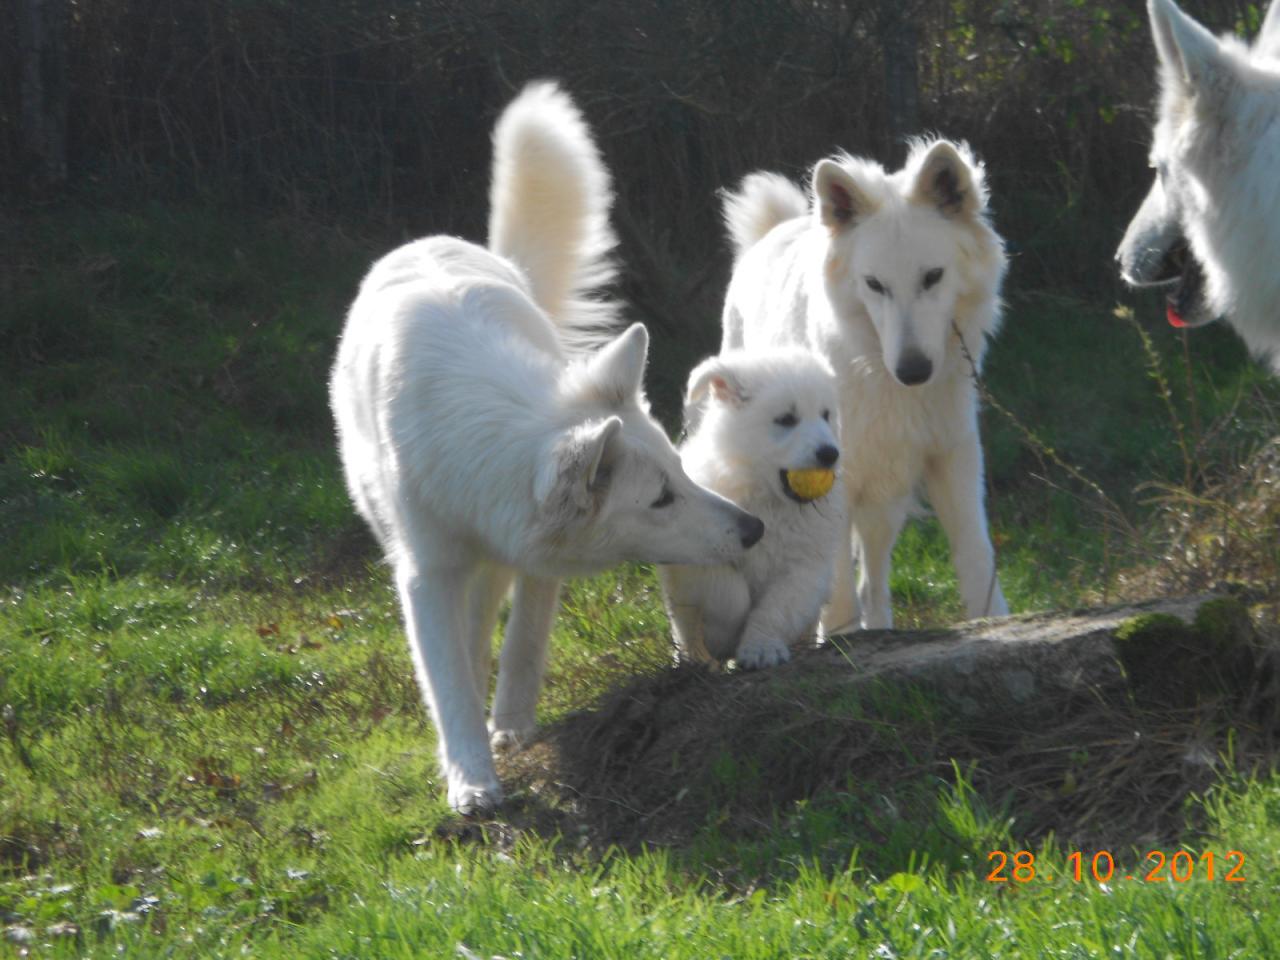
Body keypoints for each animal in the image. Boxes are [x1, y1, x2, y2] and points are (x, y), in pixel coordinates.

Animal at [332, 84, 768, 819]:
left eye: (682, 474)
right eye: (660, 498)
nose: (754, 528)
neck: (492, 430)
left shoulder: (535, 562)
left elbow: (525, 645)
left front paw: (510, 726)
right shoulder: (427, 573)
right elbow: (447, 678)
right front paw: (471, 780)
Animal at [660, 345, 849, 670]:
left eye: (826, 415)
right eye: (786, 419)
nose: (830, 454)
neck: (767, 498)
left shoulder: (806, 564)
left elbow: (778, 606)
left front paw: (760, 648)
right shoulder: (694, 547)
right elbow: (728, 588)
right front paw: (724, 637)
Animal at [721, 135, 1008, 632]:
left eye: (932, 277)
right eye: (875, 285)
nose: (913, 371)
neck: (881, 378)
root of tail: (775, 230)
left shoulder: (954, 459)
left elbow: (976, 555)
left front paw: (994, 620)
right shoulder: (832, 477)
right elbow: (834, 587)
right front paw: (839, 637)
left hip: (885, 494)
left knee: (873, 576)